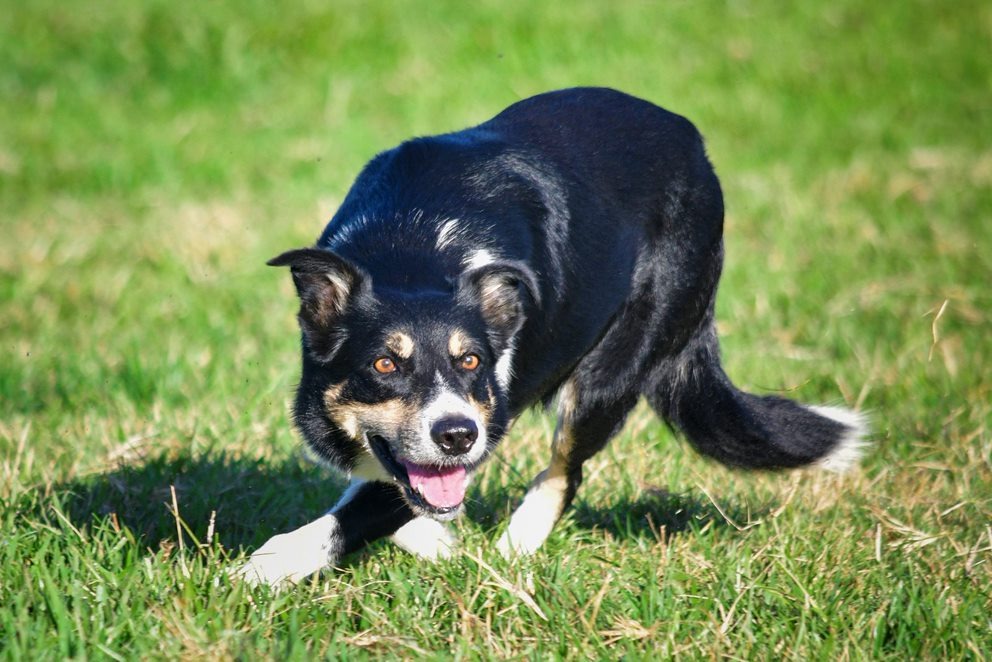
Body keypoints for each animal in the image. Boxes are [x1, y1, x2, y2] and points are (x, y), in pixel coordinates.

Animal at [242, 87, 868, 588]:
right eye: (384, 366)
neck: (415, 250)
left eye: (471, 361)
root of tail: (692, 141)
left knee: (568, 469)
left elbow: (357, 515)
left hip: (616, 364)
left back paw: (514, 549)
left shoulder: (488, 418)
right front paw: (434, 539)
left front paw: (264, 569)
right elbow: (392, 489)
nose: (457, 435)